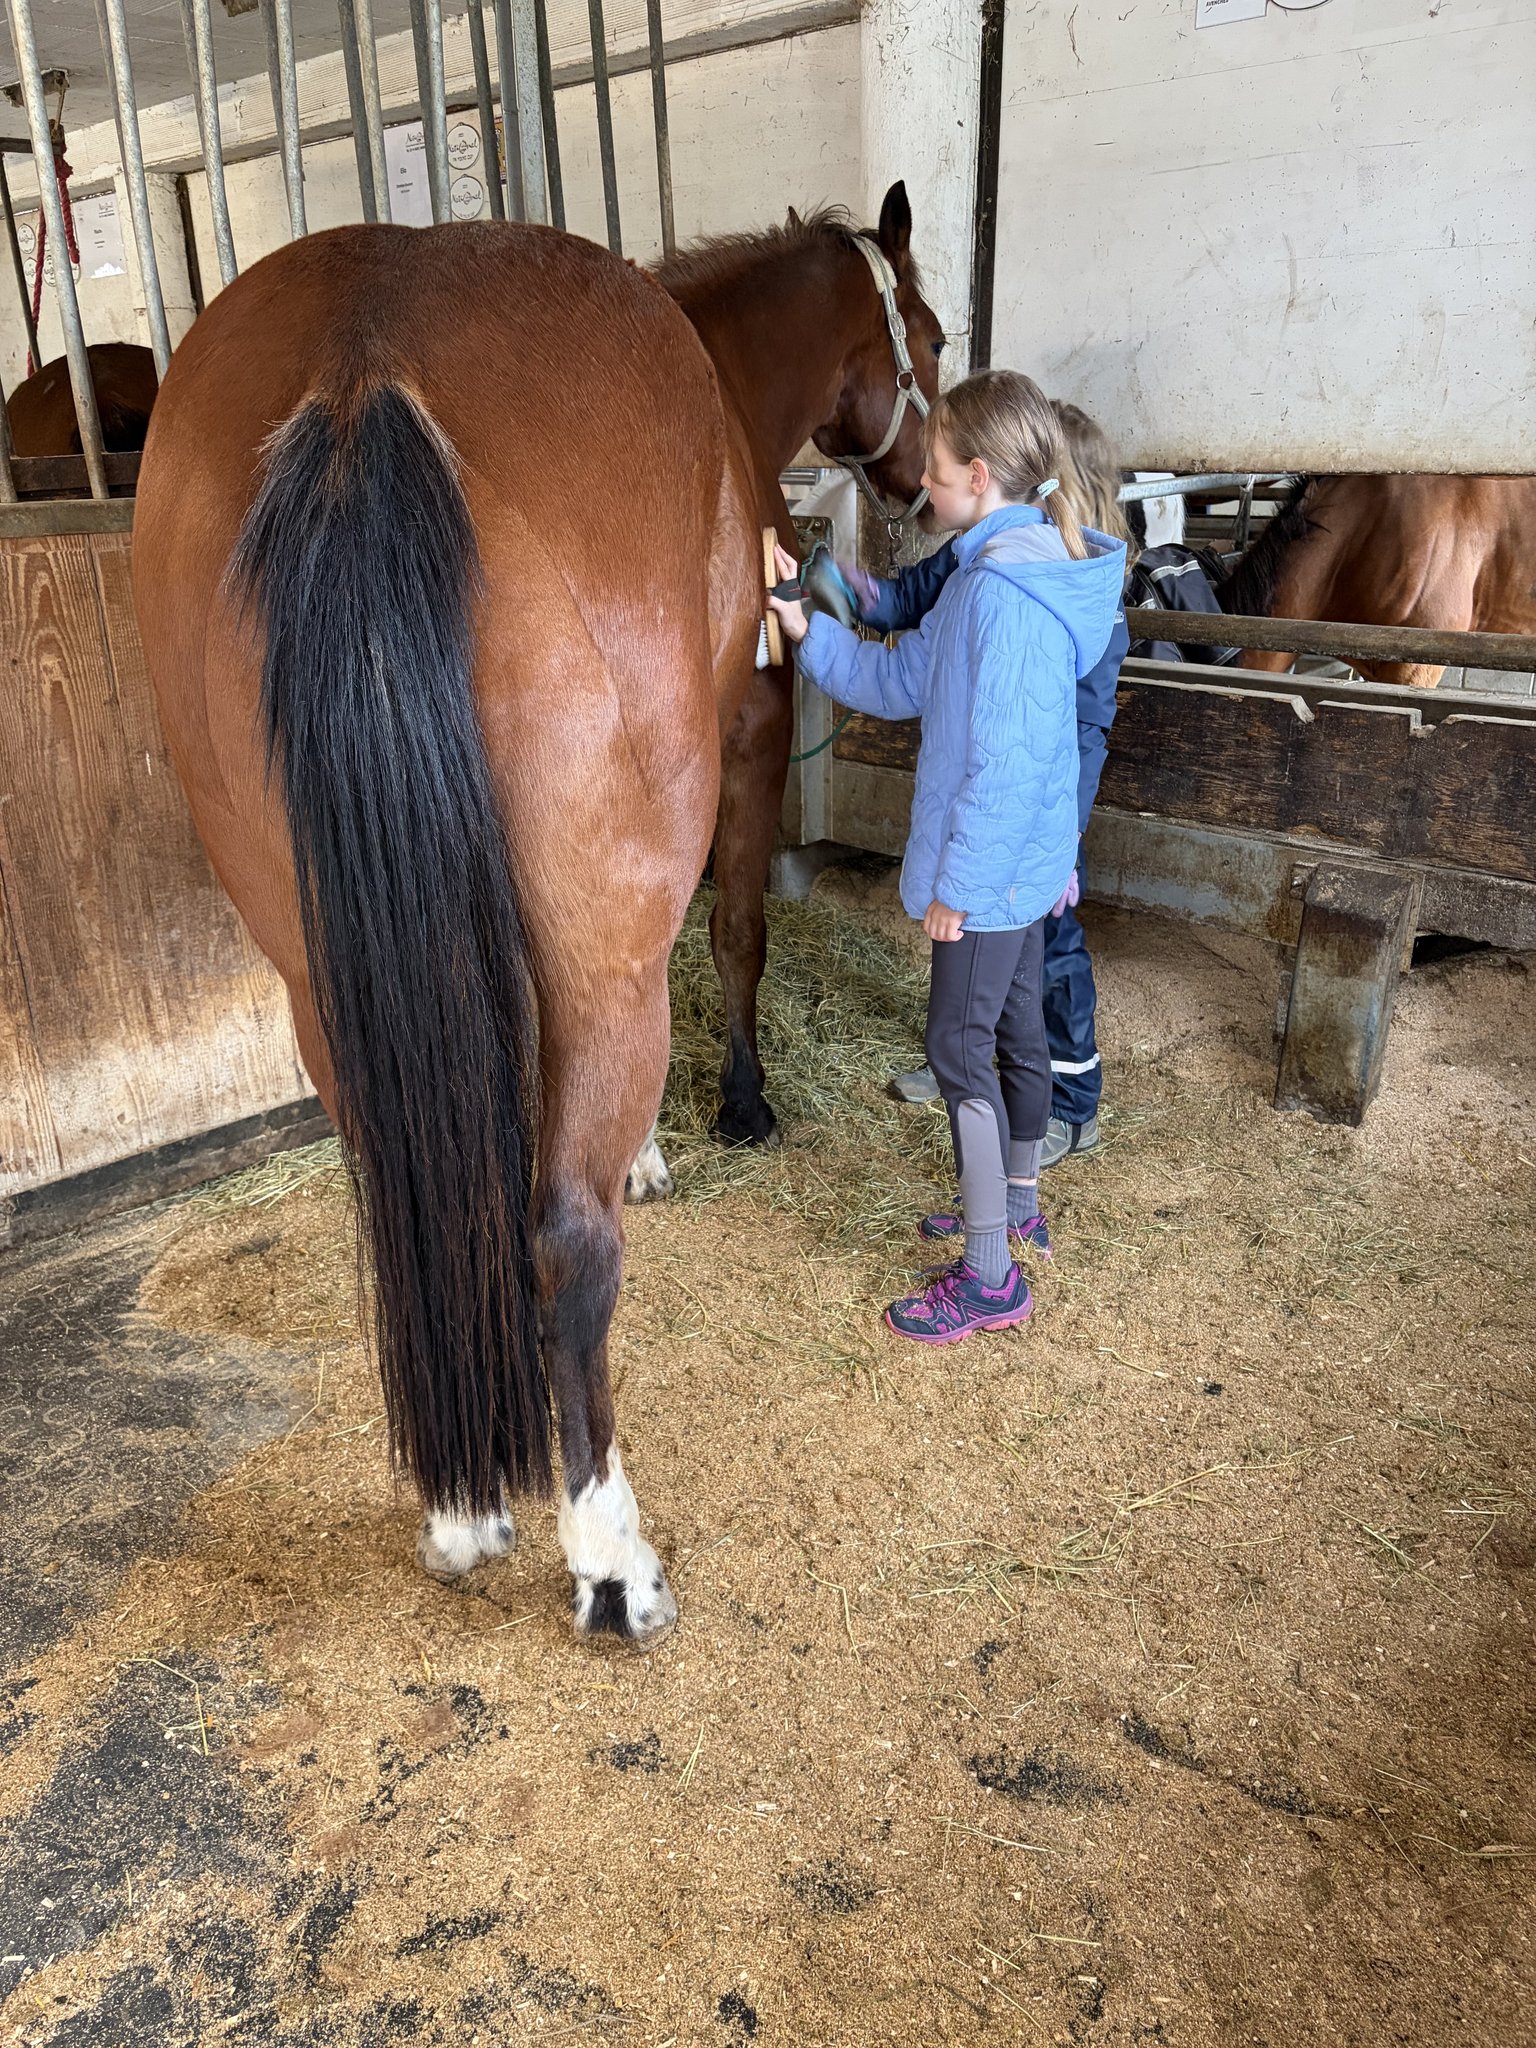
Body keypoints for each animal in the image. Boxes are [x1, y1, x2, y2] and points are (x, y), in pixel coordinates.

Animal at [131, 190, 937, 1644]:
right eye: (933, 334)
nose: (923, 483)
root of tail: (363, 372)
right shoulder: (748, 736)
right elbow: (732, 934)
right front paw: (735, 1110)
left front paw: (655, 1153)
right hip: (594, 942)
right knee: (565, 1233)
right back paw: (608, 1555)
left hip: (317, 970)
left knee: (418, 1205)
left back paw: (463, 1513)